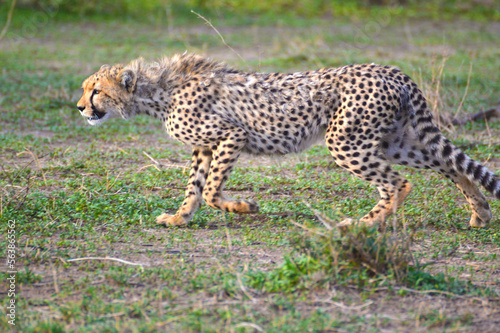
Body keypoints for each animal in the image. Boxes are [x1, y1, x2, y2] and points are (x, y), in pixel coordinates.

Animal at [76, 53, 498, 228]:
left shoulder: (232, 135)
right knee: (449, 165)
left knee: (398, 183)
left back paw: (359, 226)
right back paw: (479, 212)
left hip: (345, 141)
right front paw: (180, 218)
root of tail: (389, 69)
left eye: (95, 90)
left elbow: (211, 190)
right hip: (395, 140)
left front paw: (243, 207)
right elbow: (194, 188)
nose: (80, 107)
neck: (156, 91)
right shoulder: (205, 146)